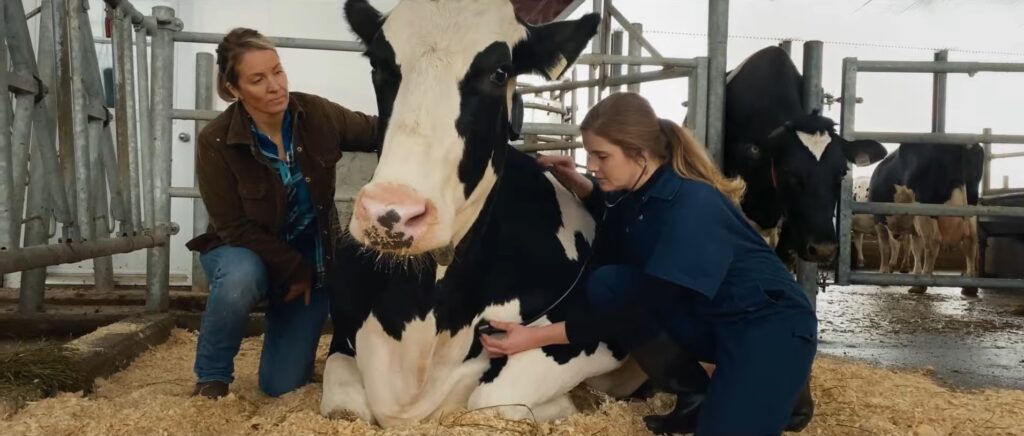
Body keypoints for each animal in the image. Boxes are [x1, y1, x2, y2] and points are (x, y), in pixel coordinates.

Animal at [319, 0, 638, 427]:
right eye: (378, 64)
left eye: (499, 72)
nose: (391, 213)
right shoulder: (342, 333)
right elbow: (342, 403)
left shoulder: (595, 333)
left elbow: (494, 396)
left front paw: (562, 405)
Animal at [868, 143, 987, 296]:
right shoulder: (913, 227)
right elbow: (916, 249)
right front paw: (915, 273)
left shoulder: (879, 220)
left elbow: (885, 247)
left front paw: (884, 273)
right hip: (971, 209)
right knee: (970, 243)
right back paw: (969, 287)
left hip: (925, 207)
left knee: (933, 242)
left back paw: (921, 285)